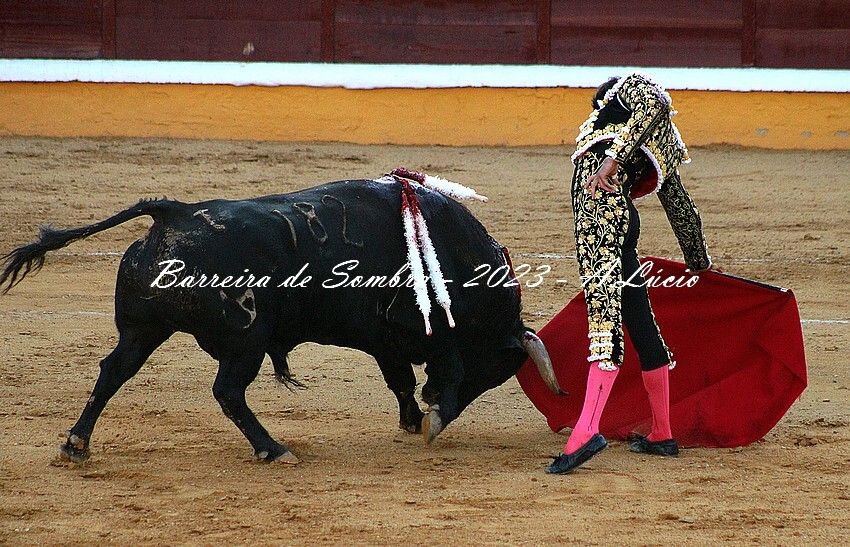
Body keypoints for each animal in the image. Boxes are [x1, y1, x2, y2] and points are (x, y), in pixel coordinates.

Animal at [1, 173, 563, 464]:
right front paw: (434, 418)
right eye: (496, 371)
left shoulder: (386, 339)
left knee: (113, 372)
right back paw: (273, 449)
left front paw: (411, 418)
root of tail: (172, 214)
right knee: (228, 391)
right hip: (245, 339)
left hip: (144, 330)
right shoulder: (426, 331)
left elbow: (400, 379)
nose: (436, 407)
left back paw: (75, 444)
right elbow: (444, 369)